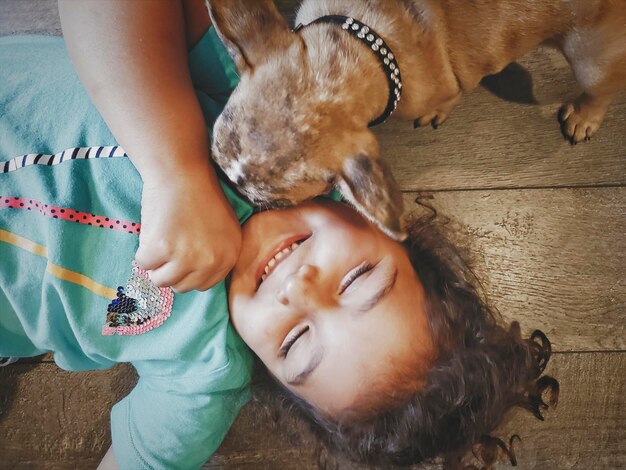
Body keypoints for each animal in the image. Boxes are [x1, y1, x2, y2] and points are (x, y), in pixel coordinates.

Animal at [206, 0, 624, 239]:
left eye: (272, 203)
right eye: (214, 152)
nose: (226, 187)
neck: (364, 45)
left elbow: (451, 96)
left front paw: (436, 112)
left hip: (590, 56)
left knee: (601, 86)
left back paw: (585, 116)